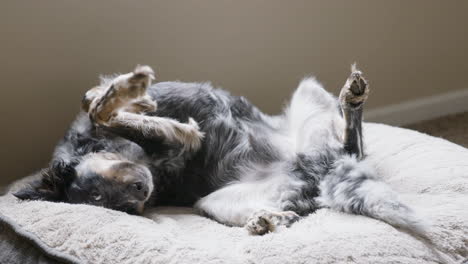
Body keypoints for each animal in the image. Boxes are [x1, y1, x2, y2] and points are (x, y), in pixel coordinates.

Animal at [13, 64, 428, 235]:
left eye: (99, 192)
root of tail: (319, 170)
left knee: (352, 137)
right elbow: (102, 110)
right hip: (213, 202)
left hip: (307, 94)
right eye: (121, 210)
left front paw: (132, 93)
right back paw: (268, 219)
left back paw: (352, 98)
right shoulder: (175, 144)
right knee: (346, 153)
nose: (141, 194)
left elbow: (94, 102)